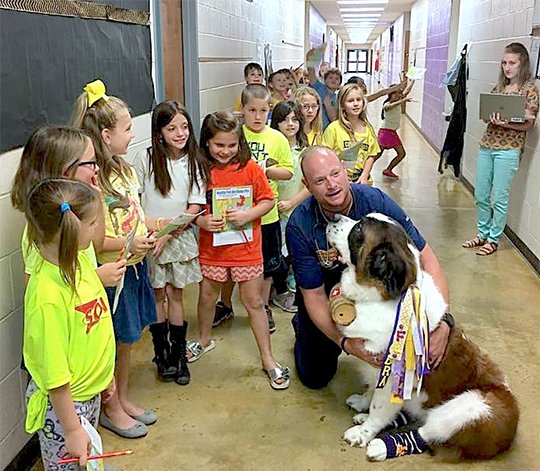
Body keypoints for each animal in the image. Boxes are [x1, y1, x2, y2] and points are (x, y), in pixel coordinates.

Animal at [324, 216, 520, 462]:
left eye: (358, 229)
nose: (333, 217)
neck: (383, 297)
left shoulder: (393, 379)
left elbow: (379, 408)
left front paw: (363, 432)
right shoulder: (377, 371)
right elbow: (371, 390)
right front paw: (363, 403)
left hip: (477, 408)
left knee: (427, 432)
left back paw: (382, 446)